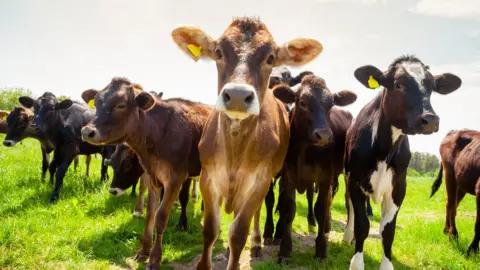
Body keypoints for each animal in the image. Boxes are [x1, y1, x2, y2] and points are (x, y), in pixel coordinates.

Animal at [79, 77, 214, 268]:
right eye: (96, 103)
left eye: (121, 105)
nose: (86, 131)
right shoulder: (152, 176)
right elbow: (151, 213)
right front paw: (143, 250)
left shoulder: (176, 178)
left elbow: (161, 216)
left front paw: (155, 258)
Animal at [172, 17, 322, 270]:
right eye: (218, 52)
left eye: (270, 57)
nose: (238, 96)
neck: (235, 146)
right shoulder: (208, 177)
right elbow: (210, 229)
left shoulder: (259, 181)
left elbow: (238, 233)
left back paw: (258, 242)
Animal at [270, 73, 356, 260]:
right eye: (302, 103)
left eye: (331, 104)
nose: (323, 135)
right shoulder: (288, 175)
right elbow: (289, 207)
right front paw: (285, 249)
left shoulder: (325, 176)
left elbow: (321, 208)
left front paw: (321, 249)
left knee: (347, 203)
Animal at [344, 53, 462, 268]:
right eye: (398, 84)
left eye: (432, 86)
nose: (430, 120)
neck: (384, 151)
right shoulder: (355, 181)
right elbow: (362, 224)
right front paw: (356, 263)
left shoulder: (399, 186)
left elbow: (388, 231)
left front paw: (386, 265)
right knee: (351, 211)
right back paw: (348, 237)